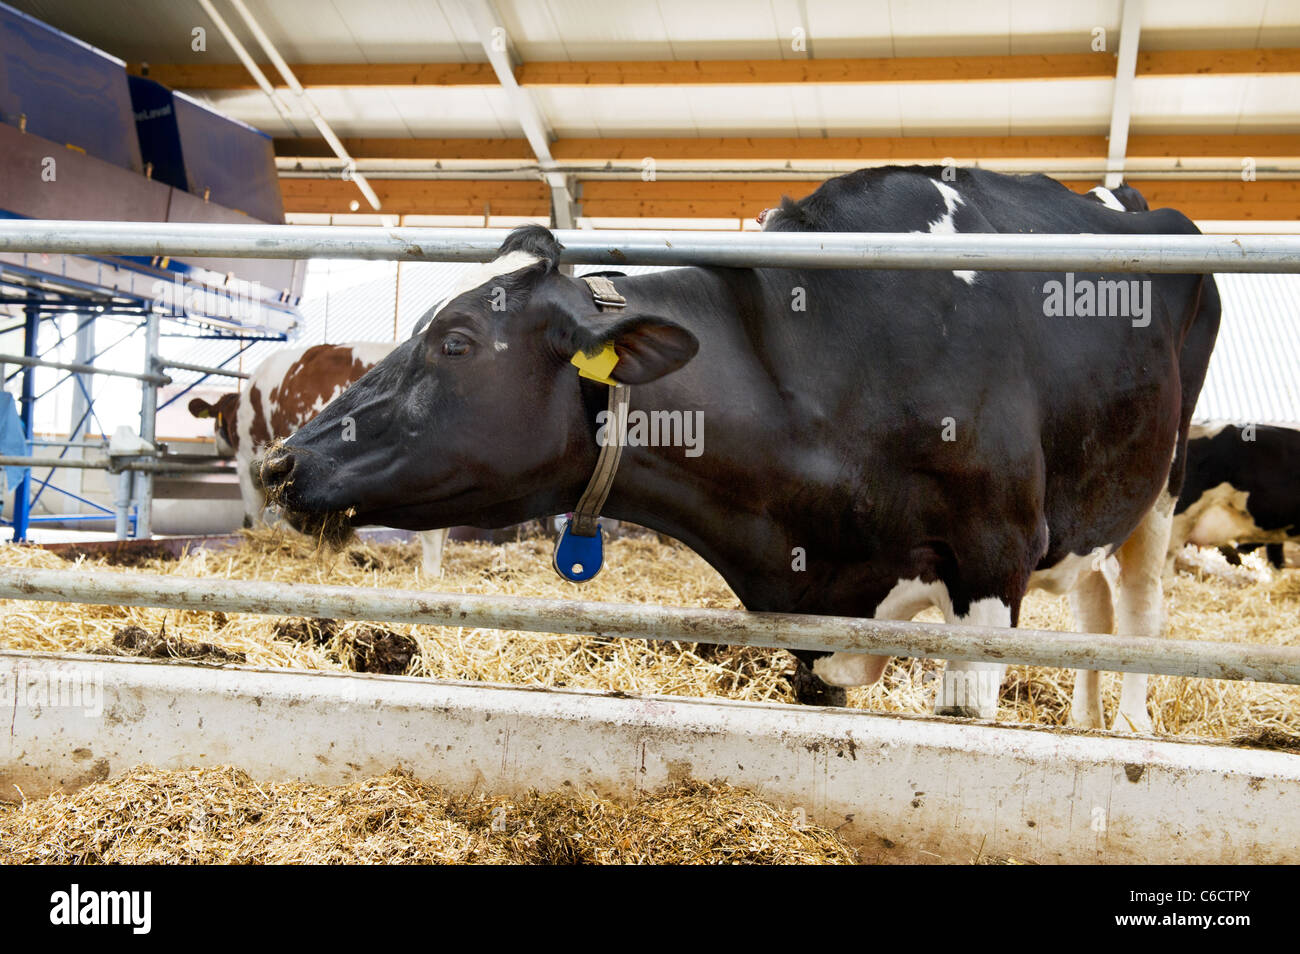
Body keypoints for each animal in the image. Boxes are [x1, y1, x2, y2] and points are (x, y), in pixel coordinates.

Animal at [255, 165, 1220, 732]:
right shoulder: (815, 613)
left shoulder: (991, 564)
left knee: (1137, 613)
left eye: (455, 341)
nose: (279, 463)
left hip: (1163, 487)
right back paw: (1086, 725)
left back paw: (1127, 730)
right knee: (1094, 610)